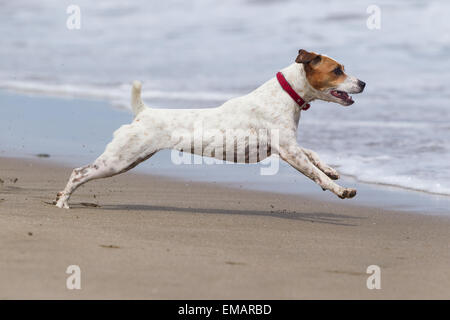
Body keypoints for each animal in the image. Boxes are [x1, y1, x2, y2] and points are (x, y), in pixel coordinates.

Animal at [55, 49, 366, 210]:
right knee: (79, 172)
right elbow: (315, 174)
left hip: (130, 160)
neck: (285, 94)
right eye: (337, 70)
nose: (363, 82)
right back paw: (63, 202)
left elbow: (314, 154)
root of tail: (143, 113)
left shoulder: (288, 147)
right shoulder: (288, 152)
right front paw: (341, 189)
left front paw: (332, 170)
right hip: (119, 160)